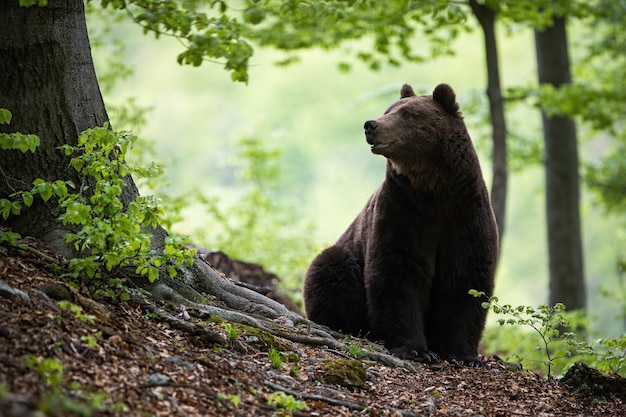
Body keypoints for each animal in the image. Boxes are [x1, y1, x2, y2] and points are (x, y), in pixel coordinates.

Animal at [302, 83, 498, 362]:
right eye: (388, 110)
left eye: (407, 114)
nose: (371, 125)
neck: (434, 193)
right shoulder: (403, 211)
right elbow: (396, 272)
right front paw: (415, 349)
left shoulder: (466, 216)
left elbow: (466, 279)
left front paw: (463, 354)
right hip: (345, 255)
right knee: (331, 266)